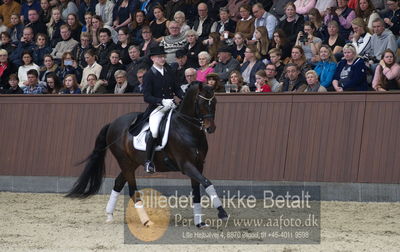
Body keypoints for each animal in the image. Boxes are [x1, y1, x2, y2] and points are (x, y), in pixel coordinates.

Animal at [66, 83, 228, 228]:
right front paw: (222, 212)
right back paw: (146, 221)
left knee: (118, 183)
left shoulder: (198, 164)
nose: (211, 128)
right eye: (201, 103)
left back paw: (109, 215)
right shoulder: (186, 165)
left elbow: (197, 192)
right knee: (133, 191)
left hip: (132, 163)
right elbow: (207, 182)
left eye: (214, 102)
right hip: (125, 162)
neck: (188, 129)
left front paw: (200, 222)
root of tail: (112, 123)